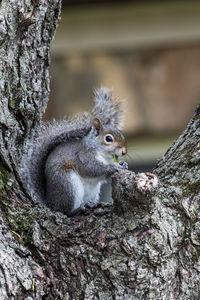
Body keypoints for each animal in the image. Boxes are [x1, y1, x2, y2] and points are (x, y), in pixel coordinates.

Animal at [20, 86, 128, 216]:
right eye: (108, 139)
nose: (124, 152)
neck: (103, 155)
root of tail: (51, 203)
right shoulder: (82, 156)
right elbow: (91, 168)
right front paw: (114, 167)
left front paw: (123, 163)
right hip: (67, 184)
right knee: (66, 211)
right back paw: (78, 209)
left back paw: (90, 204)